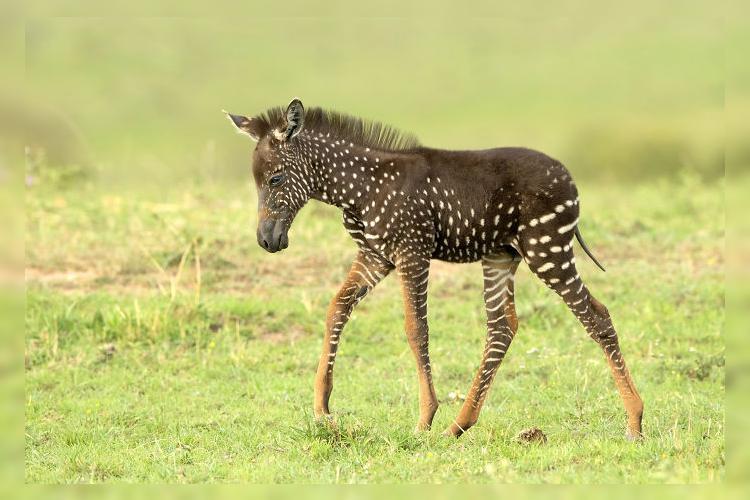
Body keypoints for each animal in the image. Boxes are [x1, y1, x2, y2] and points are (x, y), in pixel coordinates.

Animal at [226, 98, 644, 442]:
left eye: (275, 178)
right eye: (256, 181)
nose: (267, 240)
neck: (360, 188)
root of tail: (570, 180)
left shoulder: (412, 252)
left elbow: (416, 329)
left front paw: (425, 416)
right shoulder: (375, 256)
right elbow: (337, 308)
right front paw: (322, 405)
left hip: (548, 250)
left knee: (596, 316)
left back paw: (635, 421)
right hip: (501, 256)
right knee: (502, 328)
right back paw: (459, 425)